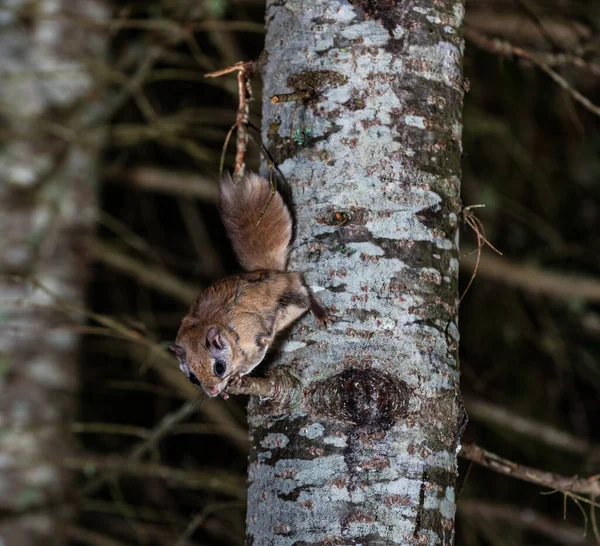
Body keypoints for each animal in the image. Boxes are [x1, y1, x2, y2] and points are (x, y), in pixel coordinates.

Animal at [170, 173, 328, 396]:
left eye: (219, 367)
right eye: (193, 378)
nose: (212, 393)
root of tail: (271, 271)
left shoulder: (255, 338)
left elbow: (253, 358)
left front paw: (236, 376)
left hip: (290, 297)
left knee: (303, 290)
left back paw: (319, 313)